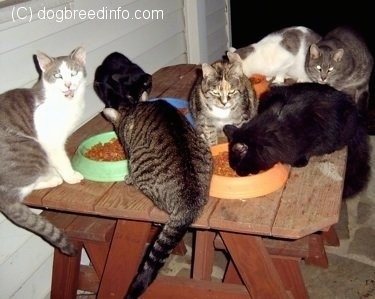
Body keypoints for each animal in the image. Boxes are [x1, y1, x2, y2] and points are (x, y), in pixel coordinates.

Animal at [0, 46, 86, 255]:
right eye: (57, 75)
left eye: (73, 73)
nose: (68, 84)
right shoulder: (51, 141)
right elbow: (62, 160)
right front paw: (71, 176)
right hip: (31, 148)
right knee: (19, 191)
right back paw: (53, 178)